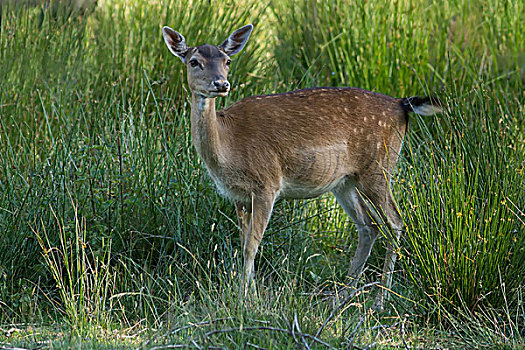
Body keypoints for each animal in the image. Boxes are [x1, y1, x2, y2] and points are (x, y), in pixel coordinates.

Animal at [162, 24, 440, 308]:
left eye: (227, 61)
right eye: (194, 61)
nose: (221, 84)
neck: (228, 148)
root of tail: (401, 105)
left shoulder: (267, 183)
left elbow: (252, 244)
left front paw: (248, 299)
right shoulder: (238, 196)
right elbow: (243, 243)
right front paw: (246, 293)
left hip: (379, 167)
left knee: (395, 222)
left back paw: (380, 301)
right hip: (345, 181)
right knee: (368, 226)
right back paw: (341, 296)